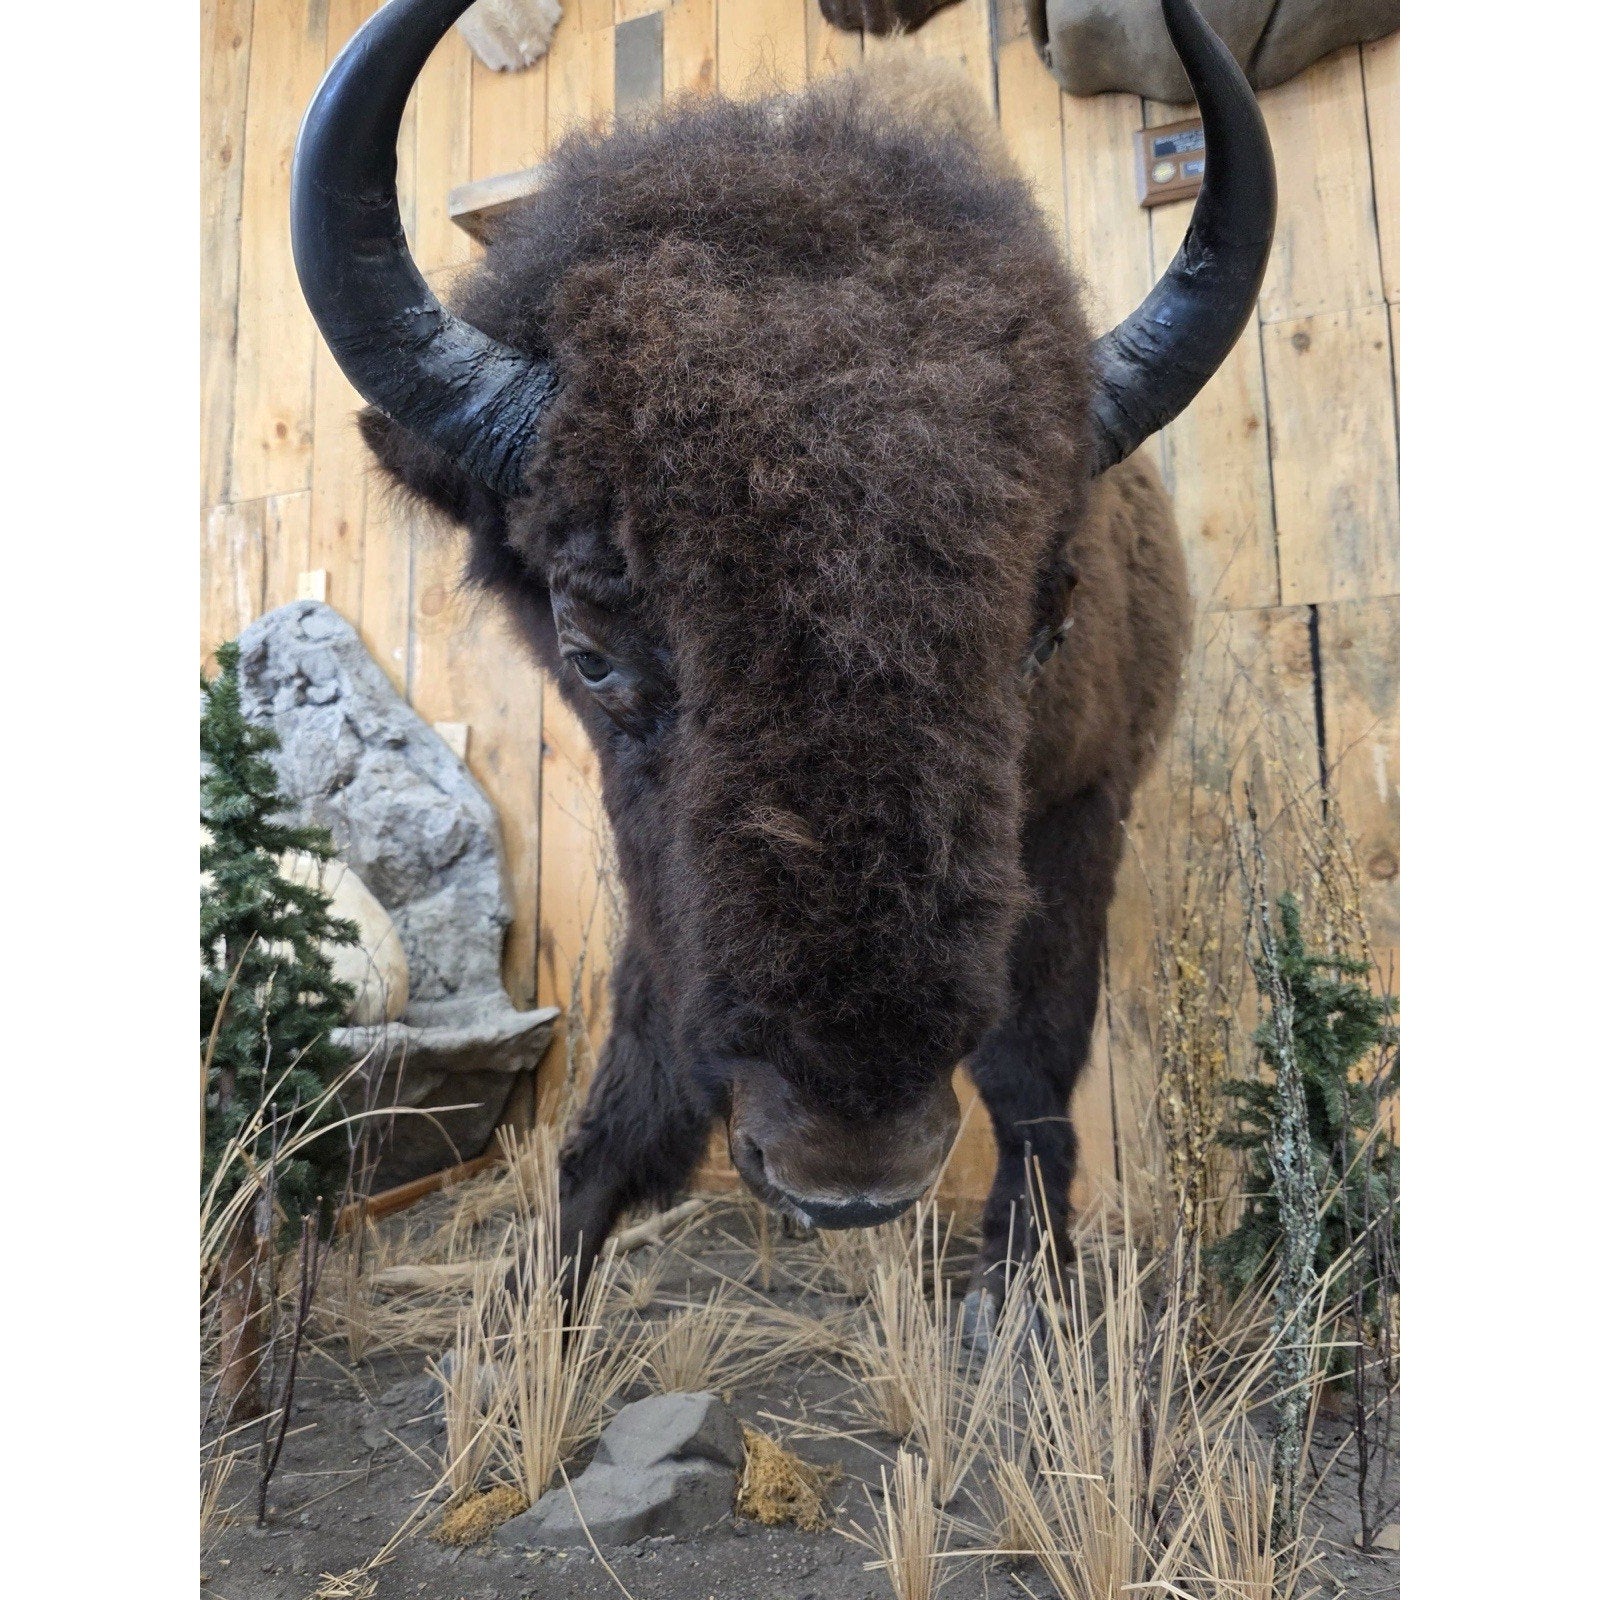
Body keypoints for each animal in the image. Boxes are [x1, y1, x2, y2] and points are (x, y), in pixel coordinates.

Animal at [291, 0, 1275, 1318]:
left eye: (1047, 630)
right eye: (590, 653)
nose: (847, 1177)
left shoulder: (1080, 802)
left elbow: (1029, 1068)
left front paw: (1017, 1293)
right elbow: (641, 1055)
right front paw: (531, 1304)